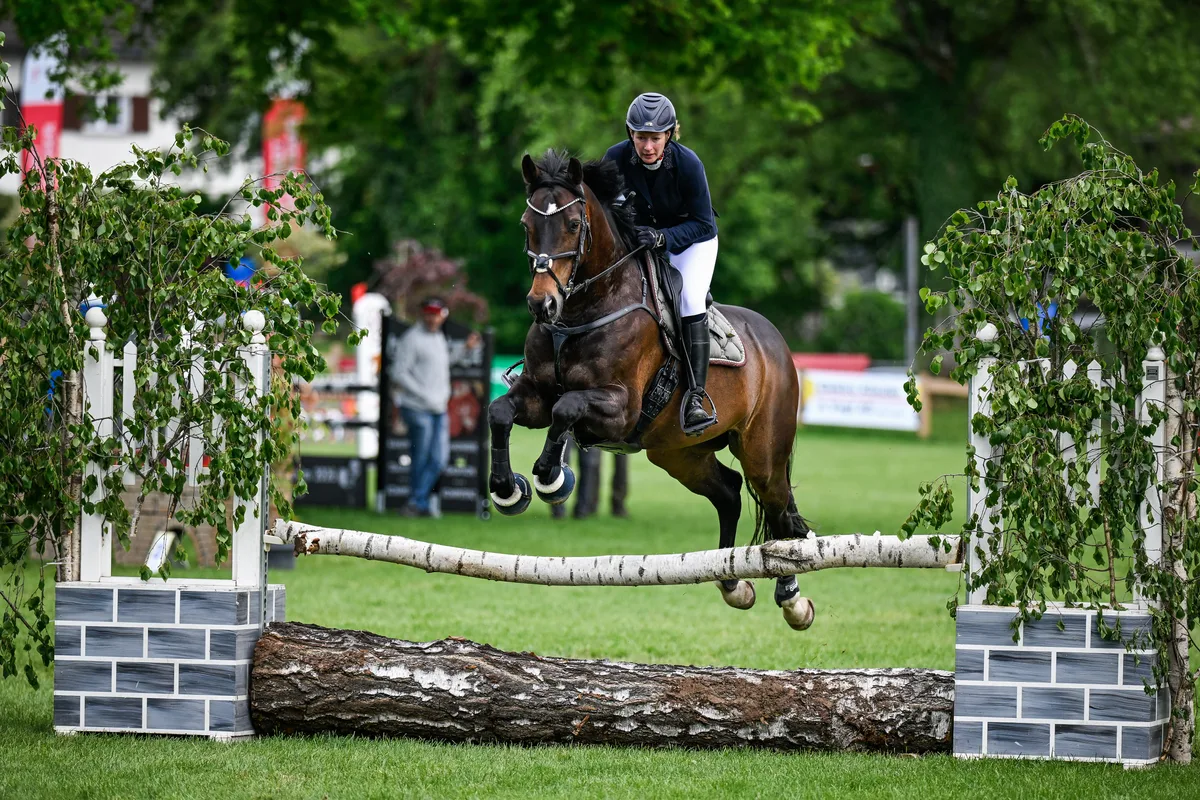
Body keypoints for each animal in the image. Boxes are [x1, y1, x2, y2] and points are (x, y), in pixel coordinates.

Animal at [487, 150, 814, 630]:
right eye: (526, 224)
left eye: (572, 225)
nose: (541, 305)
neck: (584, 309)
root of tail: (776, 342)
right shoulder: (534, 395)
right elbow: (501, 412)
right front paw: (507, 489)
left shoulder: (619, 408)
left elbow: (566, 409)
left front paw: (552, 479)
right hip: (678, 454)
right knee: (729, 491)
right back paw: (732, 582)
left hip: (762, 451)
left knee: (780, 510)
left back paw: (793, 600)